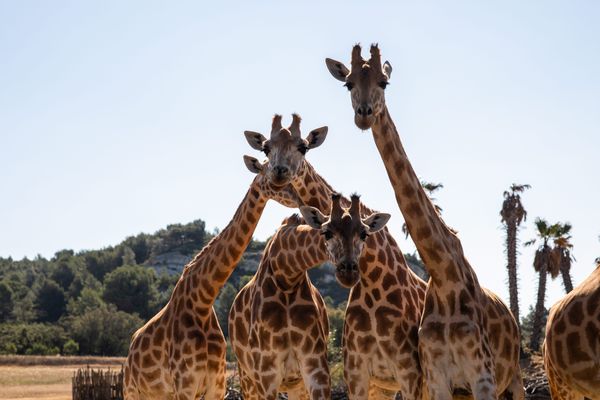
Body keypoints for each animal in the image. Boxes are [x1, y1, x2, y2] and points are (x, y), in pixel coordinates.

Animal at [122, 152, 310, 396]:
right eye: (276, 176)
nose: (301, 199)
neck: (202, 301)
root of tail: (129, 351)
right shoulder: (185, 384)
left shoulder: (217, 384)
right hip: (131, 390)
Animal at [229, 192, 390, 398]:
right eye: (326, 232)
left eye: (364, 233)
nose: (349, 272)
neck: (287, 275)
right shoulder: (265, 370)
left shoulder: (315, 362)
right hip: (246, 377)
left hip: (295, 385)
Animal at [246, 114, 428, 398]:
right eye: (266, 148)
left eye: (303, 147)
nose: (278, 172)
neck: (375, 282)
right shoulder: (356, 371)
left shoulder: (410, 372)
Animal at [324, 44, 524, 400]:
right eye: (348, 84)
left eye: (384, 82)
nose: (364, 114)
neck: (444, 277)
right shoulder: (437, 376)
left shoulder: (481, 375)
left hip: (512, 379)